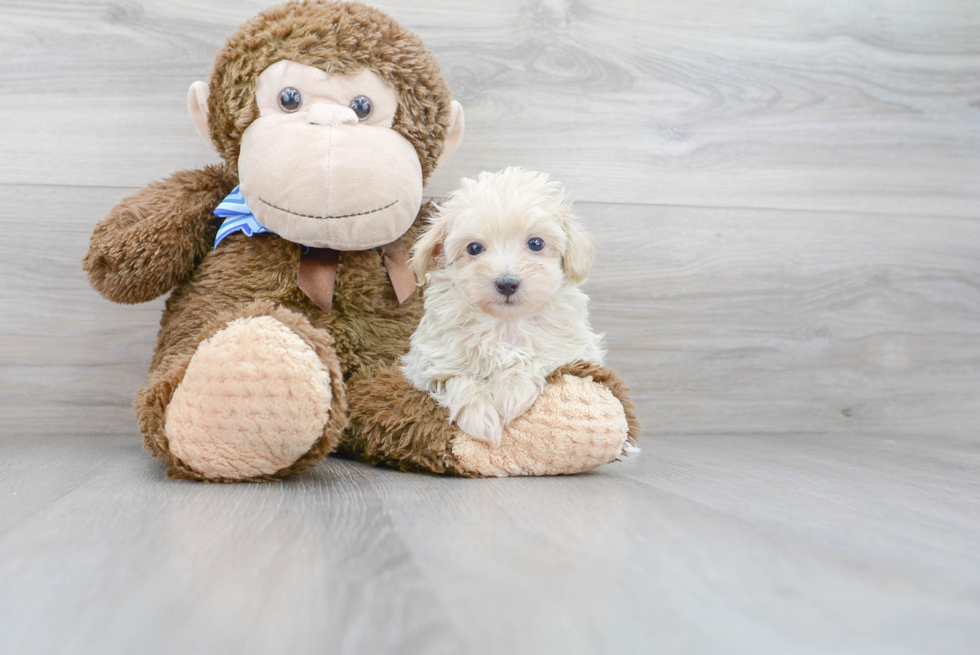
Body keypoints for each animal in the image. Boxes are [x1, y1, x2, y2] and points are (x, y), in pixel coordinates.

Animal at [400, 167, 604, 448]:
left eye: (536, 243)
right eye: (474, 248)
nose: (507, 283)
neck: (505, 324)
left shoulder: (573, 351)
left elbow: (533, 357)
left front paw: (512, 391)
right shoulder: (427, 367)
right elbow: (458, 378)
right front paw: (481, 416)